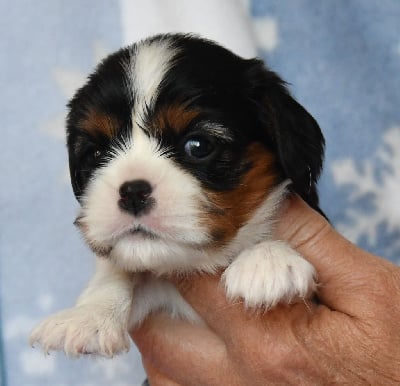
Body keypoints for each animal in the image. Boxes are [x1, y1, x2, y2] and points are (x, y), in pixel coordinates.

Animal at [30, 33, 324, 356]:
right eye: (96, 154)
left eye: (198, 146)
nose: (133, 192)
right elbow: (118, 274)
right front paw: (87, 316)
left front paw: (268, 261)